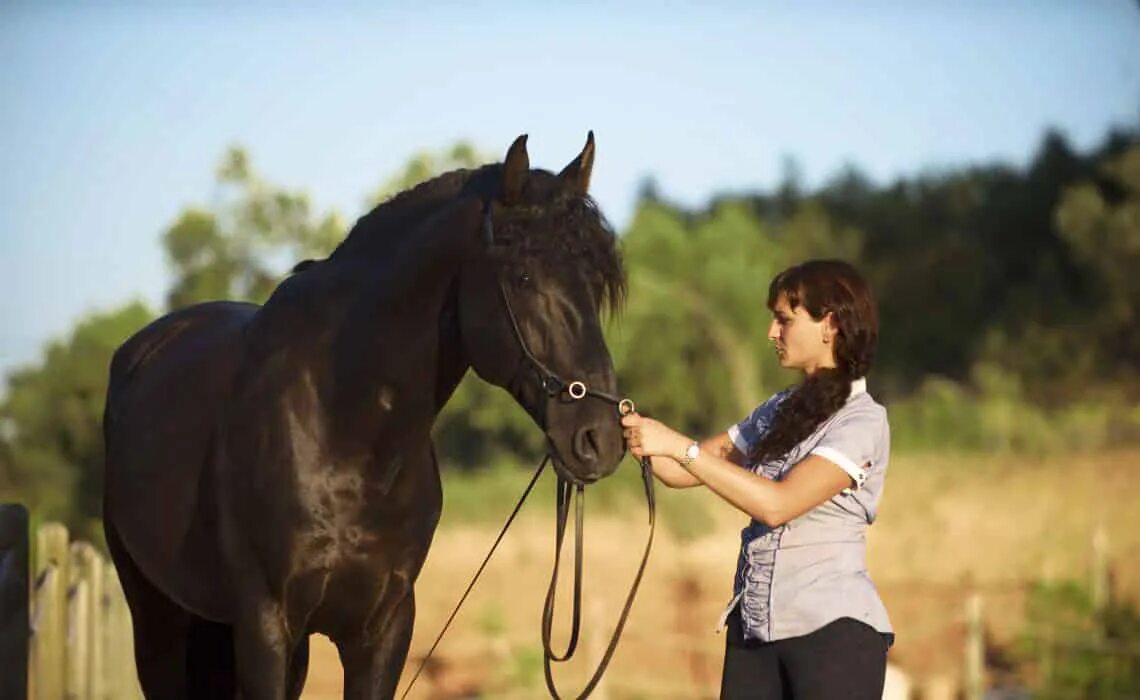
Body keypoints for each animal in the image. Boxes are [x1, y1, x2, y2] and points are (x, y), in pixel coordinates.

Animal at [101, 134, 629, 697]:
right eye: (524, 276)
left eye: (598, 283)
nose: (600, 439)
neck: (344, 431)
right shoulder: (266, 626)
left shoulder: (383, 628)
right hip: (159, 622)